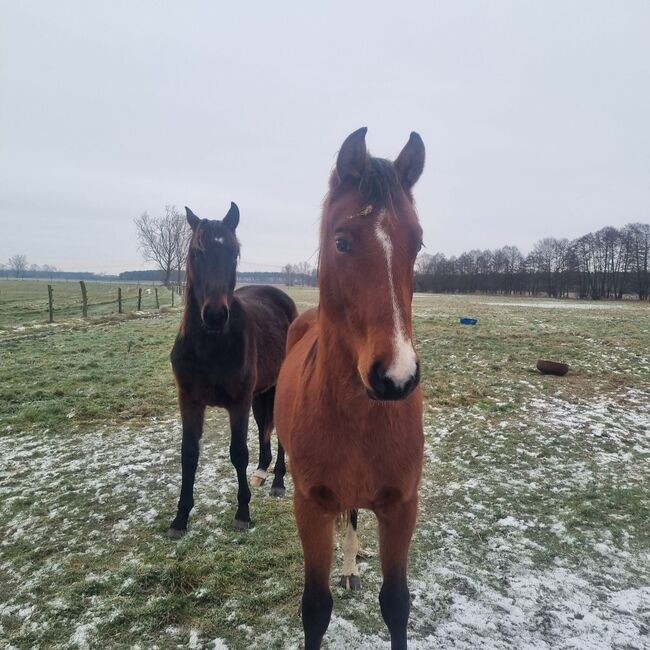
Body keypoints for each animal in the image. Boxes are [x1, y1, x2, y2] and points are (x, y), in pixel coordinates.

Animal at [168, 202, 298, 536]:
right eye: (196, 252)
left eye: (233, 253)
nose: (215, 314)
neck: (209, 347)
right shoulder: (189, 400)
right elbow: (189, 453)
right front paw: (180, 517)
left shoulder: (238, 402)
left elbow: (238, 453)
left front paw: (242, 512)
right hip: (261, 392)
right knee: (265, 428)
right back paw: (262, 472)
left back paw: (277, 481)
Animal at [274, 128, 422, 648]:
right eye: (341, 241)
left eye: (418, 243)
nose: (396, 376)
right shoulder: (311, 508)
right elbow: (315, 609)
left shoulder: (401, 507)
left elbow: (396, 604)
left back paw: (353, 565)